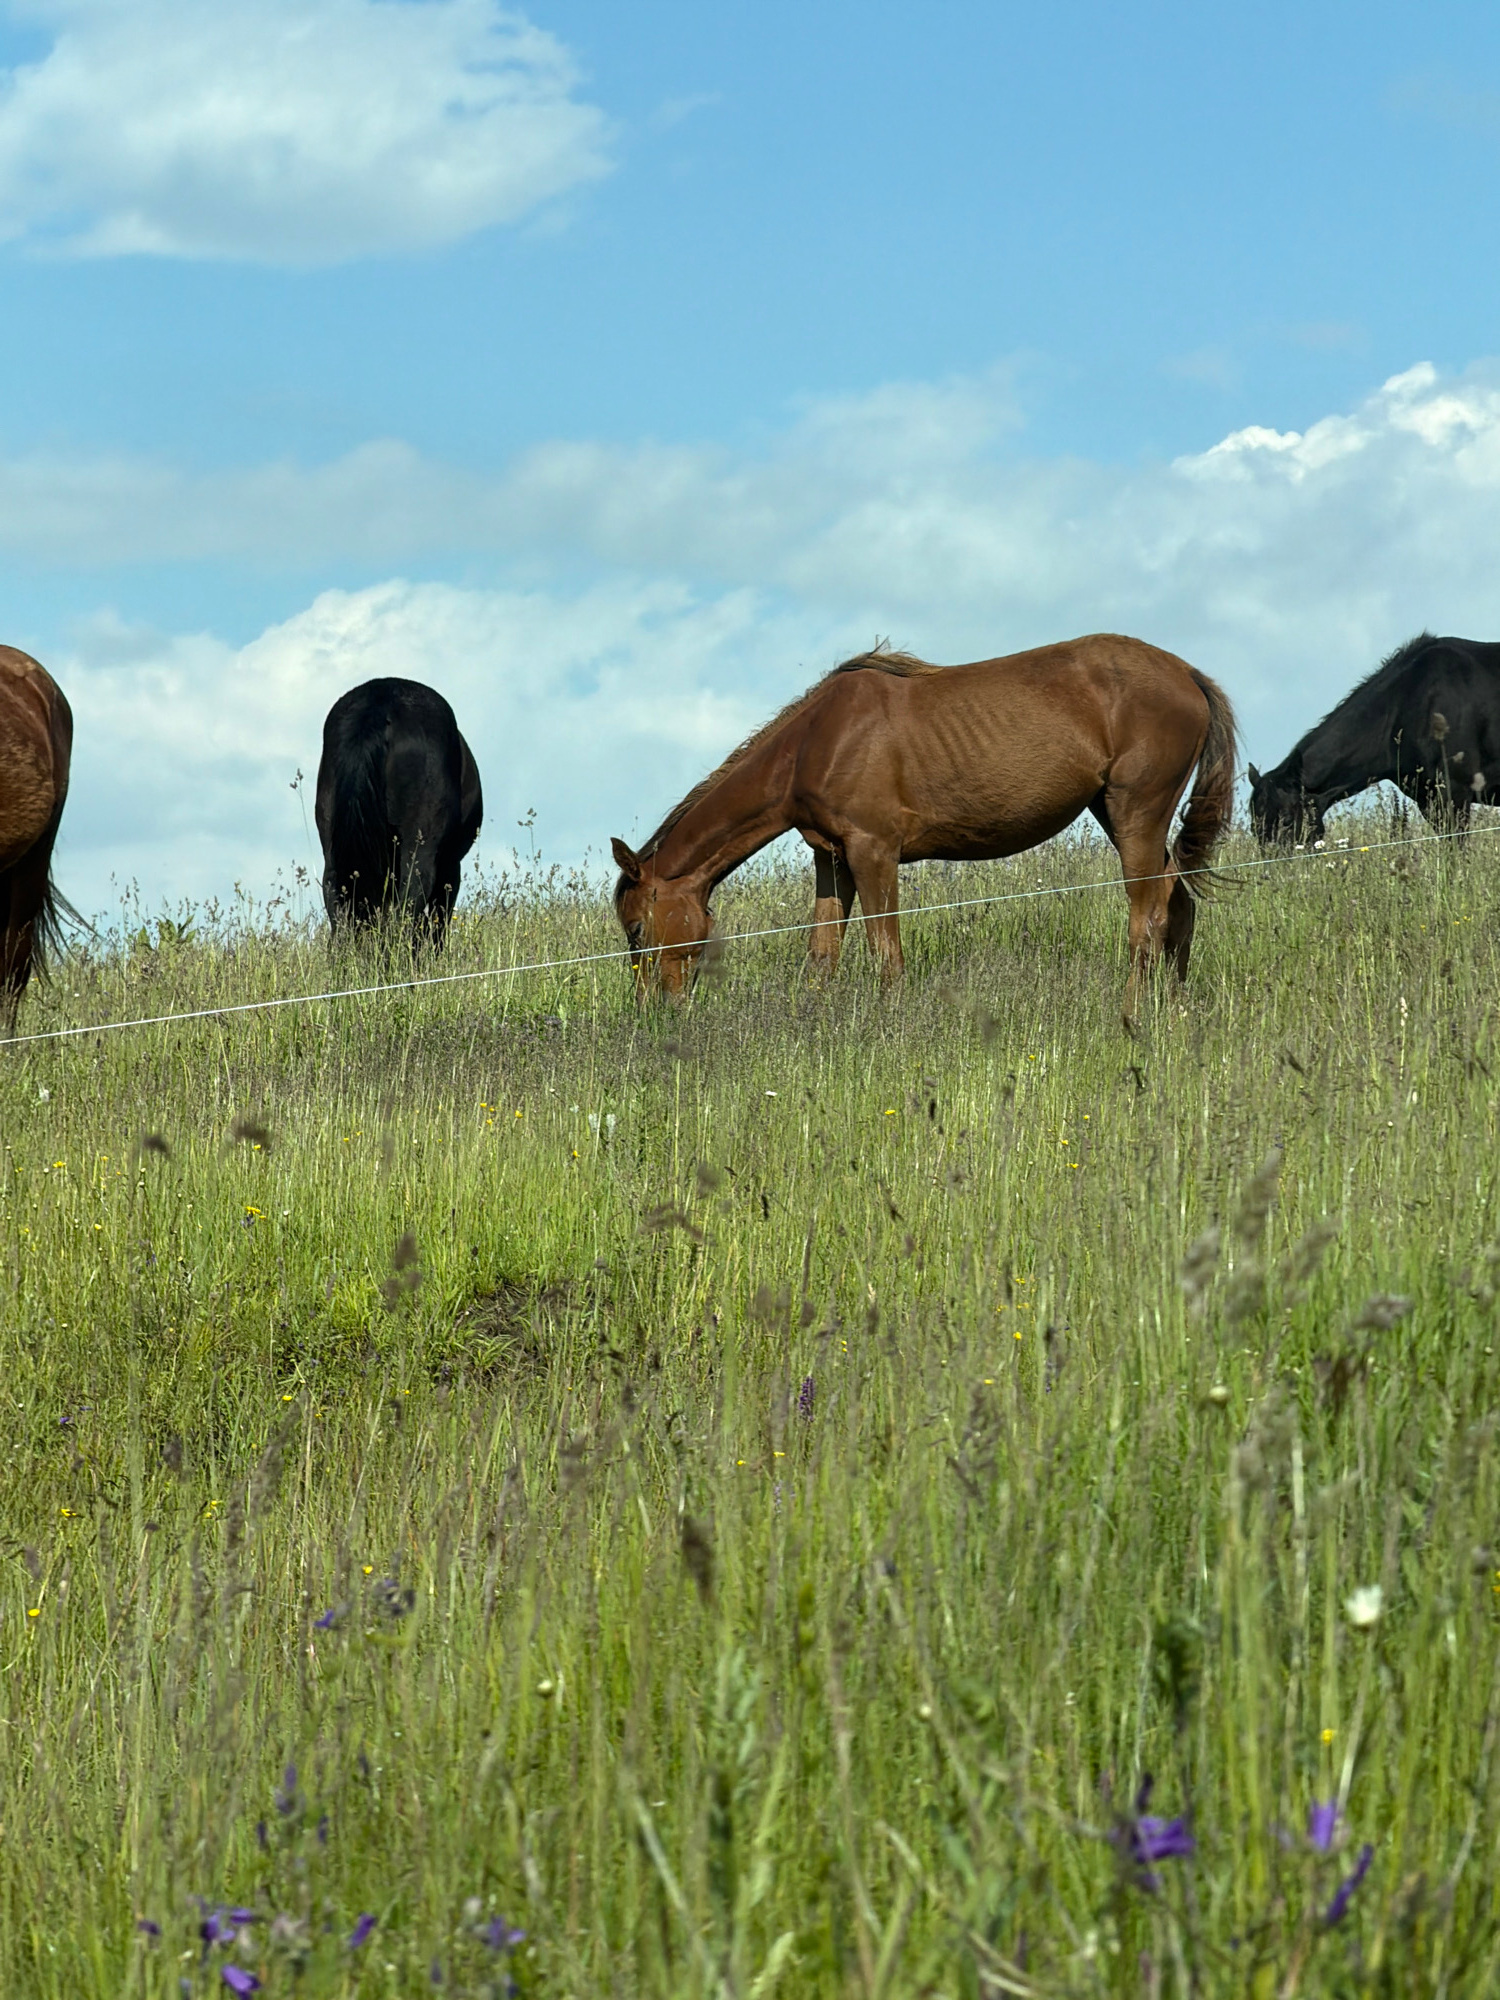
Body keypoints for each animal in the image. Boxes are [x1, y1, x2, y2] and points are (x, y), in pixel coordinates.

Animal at [612, 634, 1237, 1025]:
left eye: (638, 929)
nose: (652, 1012)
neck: (814, 743)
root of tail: (1188, 675)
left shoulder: (873, 853)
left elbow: (885, 953)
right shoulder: (831, 859)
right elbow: (822, 957)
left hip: (1136, 813)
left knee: (1146, 920)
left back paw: (1130, 1015)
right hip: (1118, 815)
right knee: (1178, 906)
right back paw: (1173, 1011)